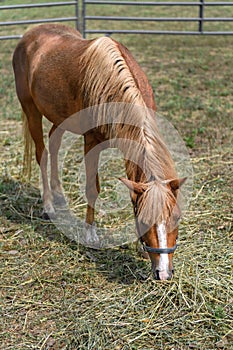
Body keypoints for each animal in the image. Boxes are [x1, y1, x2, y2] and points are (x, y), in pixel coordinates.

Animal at [12, 23, 186, 280]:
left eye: (176, 217)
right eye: (145, 219)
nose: (163, 274)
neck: (112, 83)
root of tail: (30, 35)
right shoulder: (91, 141)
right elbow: (92, 188)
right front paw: (90, 235)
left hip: (59, 118)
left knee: (54, 144)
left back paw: (60, 196)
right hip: (30, 108)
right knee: (42, 155)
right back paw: (49, 205)